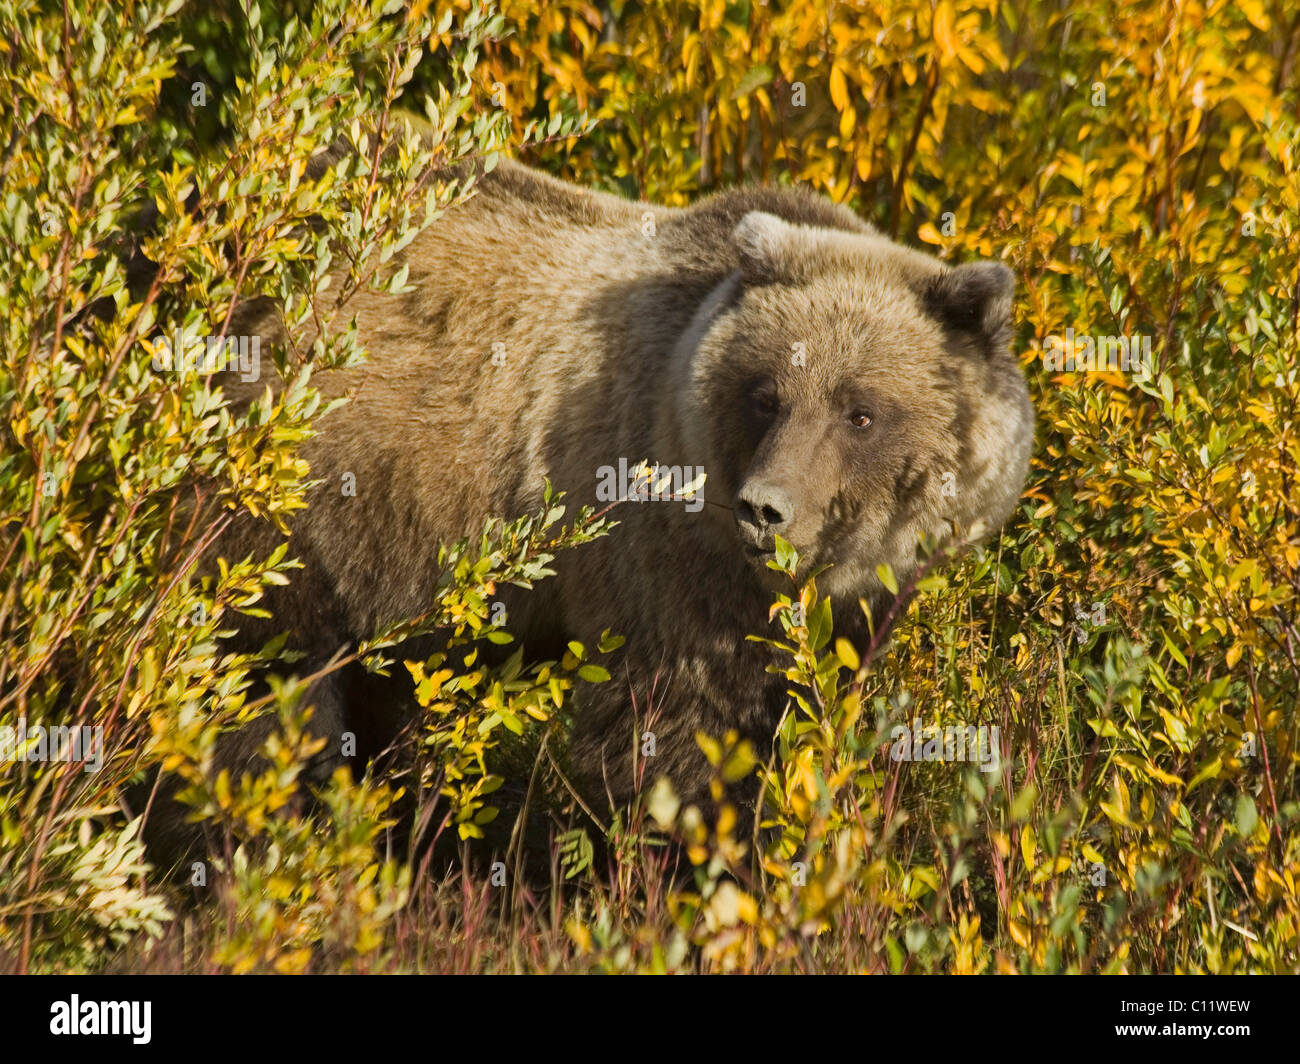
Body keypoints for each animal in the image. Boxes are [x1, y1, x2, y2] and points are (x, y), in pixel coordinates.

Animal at [182, 155, 1034, 843]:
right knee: (266, 672)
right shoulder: (658, 555)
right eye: (767, 396)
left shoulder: (849, 612)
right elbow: (673, 732)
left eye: (860, 412)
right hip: (296, 495)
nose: (766, 509)